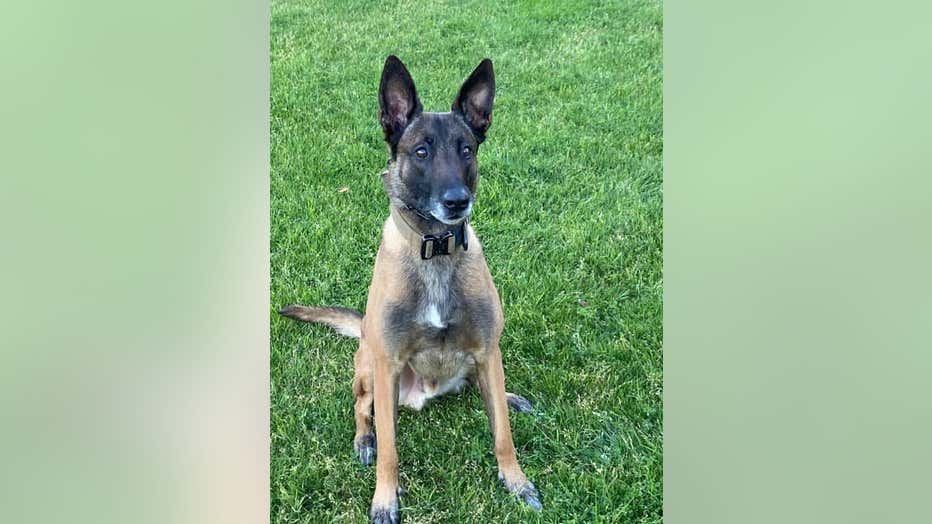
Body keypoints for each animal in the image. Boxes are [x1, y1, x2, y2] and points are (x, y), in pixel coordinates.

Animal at [280, 55, 540, 523]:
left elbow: (503, 435)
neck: (435, 250)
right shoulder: (388, 365)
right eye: (421, 151)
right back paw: (364, 440)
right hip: (369, 366)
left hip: (478, 363)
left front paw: (516, 482)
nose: (457, 201)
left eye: (466, 149)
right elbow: (390, 450)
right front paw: (385, 499)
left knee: (483, 388)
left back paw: (508, 397)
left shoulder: (488, 349)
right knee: (362, 410)